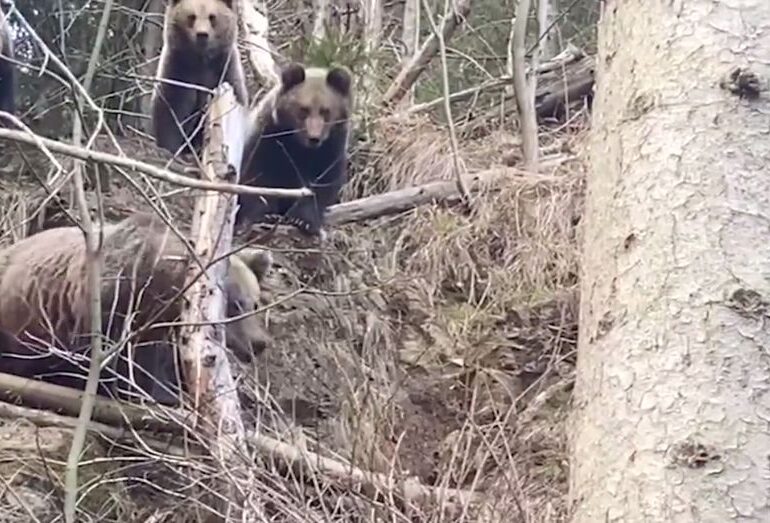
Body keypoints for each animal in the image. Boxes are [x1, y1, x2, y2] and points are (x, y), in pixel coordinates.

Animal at [150, 0, 246, 156]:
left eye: (212, 17)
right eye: (191, 16)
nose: (202, 34)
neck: (201, 61)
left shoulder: (225, 70)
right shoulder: (178, 72)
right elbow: (171, 108)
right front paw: (170, 148)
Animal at [236, 62, 352, 238]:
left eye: (326, 111)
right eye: (303, 109)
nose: (314, 137)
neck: (298, 146)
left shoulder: (331, 148)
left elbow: (323, 182)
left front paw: (303, 220)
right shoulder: (267, 139)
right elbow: (256, 178)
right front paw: (265, 214)